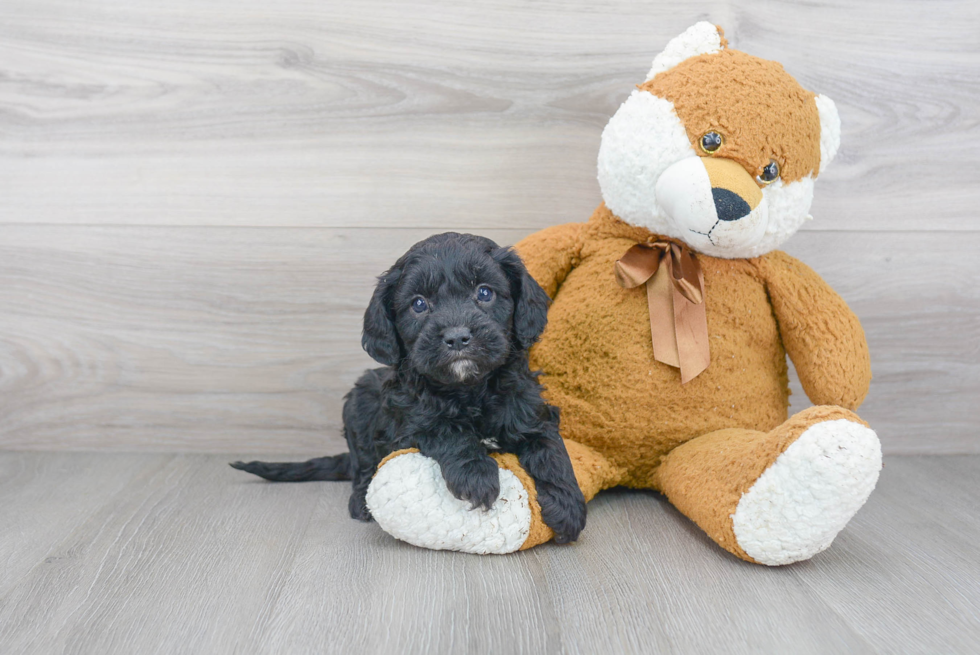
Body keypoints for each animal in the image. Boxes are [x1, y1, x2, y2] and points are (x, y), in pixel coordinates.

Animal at [234, 234, 584, 544]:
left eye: (485, 293)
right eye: (418, 304)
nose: (457, 337)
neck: (469, 389)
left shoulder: (530, 412)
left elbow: (551, 451)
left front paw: (568, 506)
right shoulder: (410, 424)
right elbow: (449, 432)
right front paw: (477, 476)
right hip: (359, 402)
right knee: (362, 465)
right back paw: (361, 502)